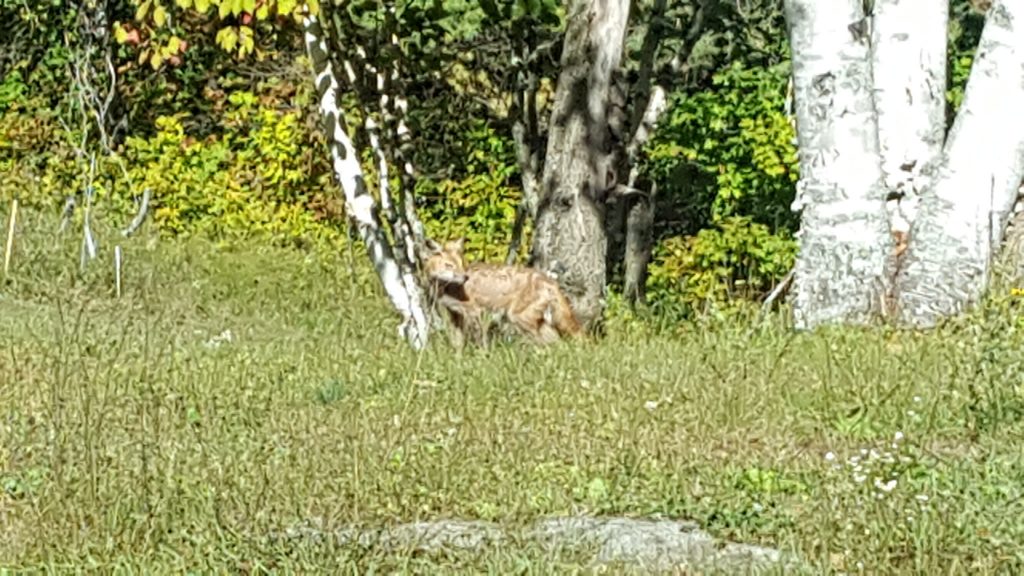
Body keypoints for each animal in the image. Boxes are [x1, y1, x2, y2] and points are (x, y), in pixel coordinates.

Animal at [423, 234, 585, 342]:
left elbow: (479, 342)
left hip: (520, 319)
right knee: (556, 343)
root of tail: (549, 279)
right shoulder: (455, 315)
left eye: (462, 264)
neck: (446, 289)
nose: (465, 278)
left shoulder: (474, 312)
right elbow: (457, 345)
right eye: (449, 266)